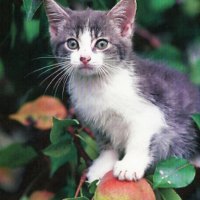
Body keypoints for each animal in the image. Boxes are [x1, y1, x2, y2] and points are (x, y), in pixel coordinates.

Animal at [43, 0, 200, 182]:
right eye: (72, 43)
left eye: (102, 44)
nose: (84, 58)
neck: (99, 85)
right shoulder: (96, 119)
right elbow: (106, 142)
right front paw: (102, 166)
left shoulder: (152, 109)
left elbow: (140, 138)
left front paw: (129, 165)